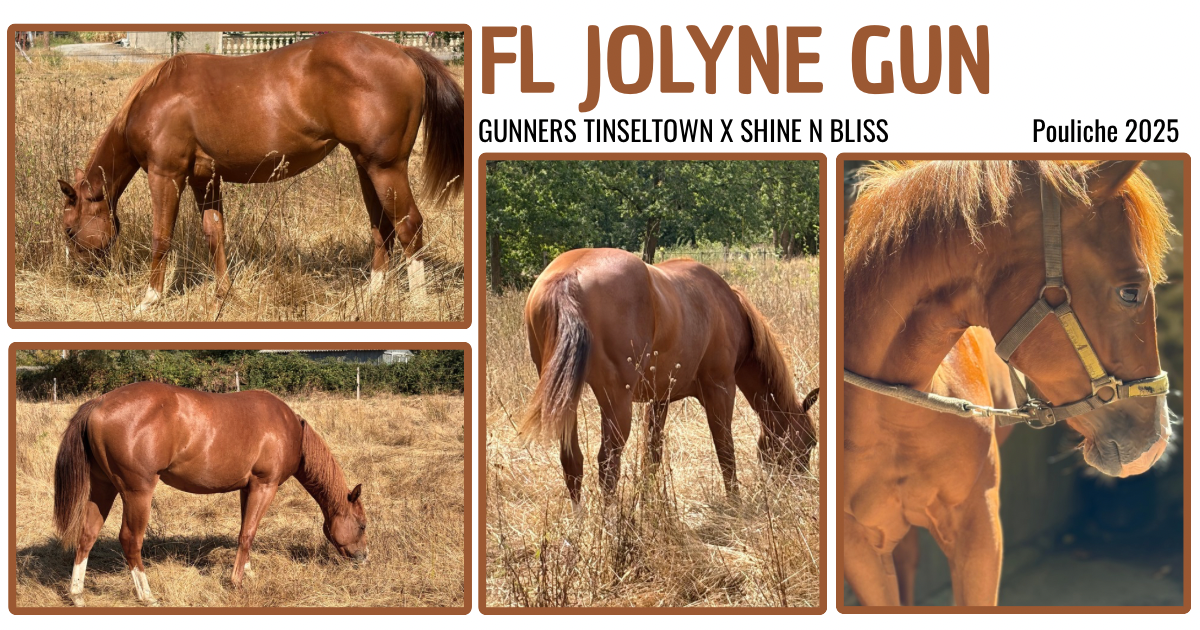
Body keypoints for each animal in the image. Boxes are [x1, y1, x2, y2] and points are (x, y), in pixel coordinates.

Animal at [52, 382, 368, 606]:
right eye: (363, 525)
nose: (363, 557)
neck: (291, 431)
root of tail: (100, 402)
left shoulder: (248, 488)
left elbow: (245, 531)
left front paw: (247, 571)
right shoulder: (265, 486)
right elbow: (248, 533)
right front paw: (236, 582)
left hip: (102, 488)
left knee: (87, 535)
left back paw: (77, 594)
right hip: (137, 492)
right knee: (130, 540)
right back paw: (147, 596)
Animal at [55, 31, 464, 311]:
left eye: (70, 230)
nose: (82, 275)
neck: (157, 100)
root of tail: (404, 52)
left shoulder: (166, 175)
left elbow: (162, 237)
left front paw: (149, 299)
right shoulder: (204, 178)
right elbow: (214, 233)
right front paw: (222, 294)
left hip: (386, 168)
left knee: (409, 225)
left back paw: (419, 304)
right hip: (367, 167)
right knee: (382, 227)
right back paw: (371, 294)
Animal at [519, 247, 820, 510]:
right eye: (810, 442)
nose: (801, 489)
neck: (728, 308)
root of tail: (568, 278)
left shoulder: (659, 400)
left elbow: (652, 454)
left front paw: (648, 503)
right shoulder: (721, 389)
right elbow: (725, 448)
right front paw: (735, 502)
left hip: (565, 400)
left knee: (572, 461)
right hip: (615, 401)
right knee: (607, 463)